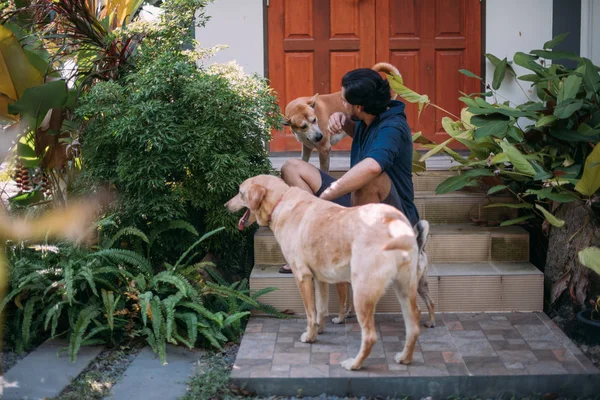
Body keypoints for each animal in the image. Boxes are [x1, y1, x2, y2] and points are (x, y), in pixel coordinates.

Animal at [225, 176, 426, 372]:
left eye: (240, 192)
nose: (225, 205)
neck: (280, 200)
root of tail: (395, 222)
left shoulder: (302, 277)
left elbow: (310, 313)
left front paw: (310, 336)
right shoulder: (320, 278)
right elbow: (321, 309)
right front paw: (319, 330)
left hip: (362, 293)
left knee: (370, 336)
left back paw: (354, 364)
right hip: (404, 289)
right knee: (414, 324)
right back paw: (405, 358)